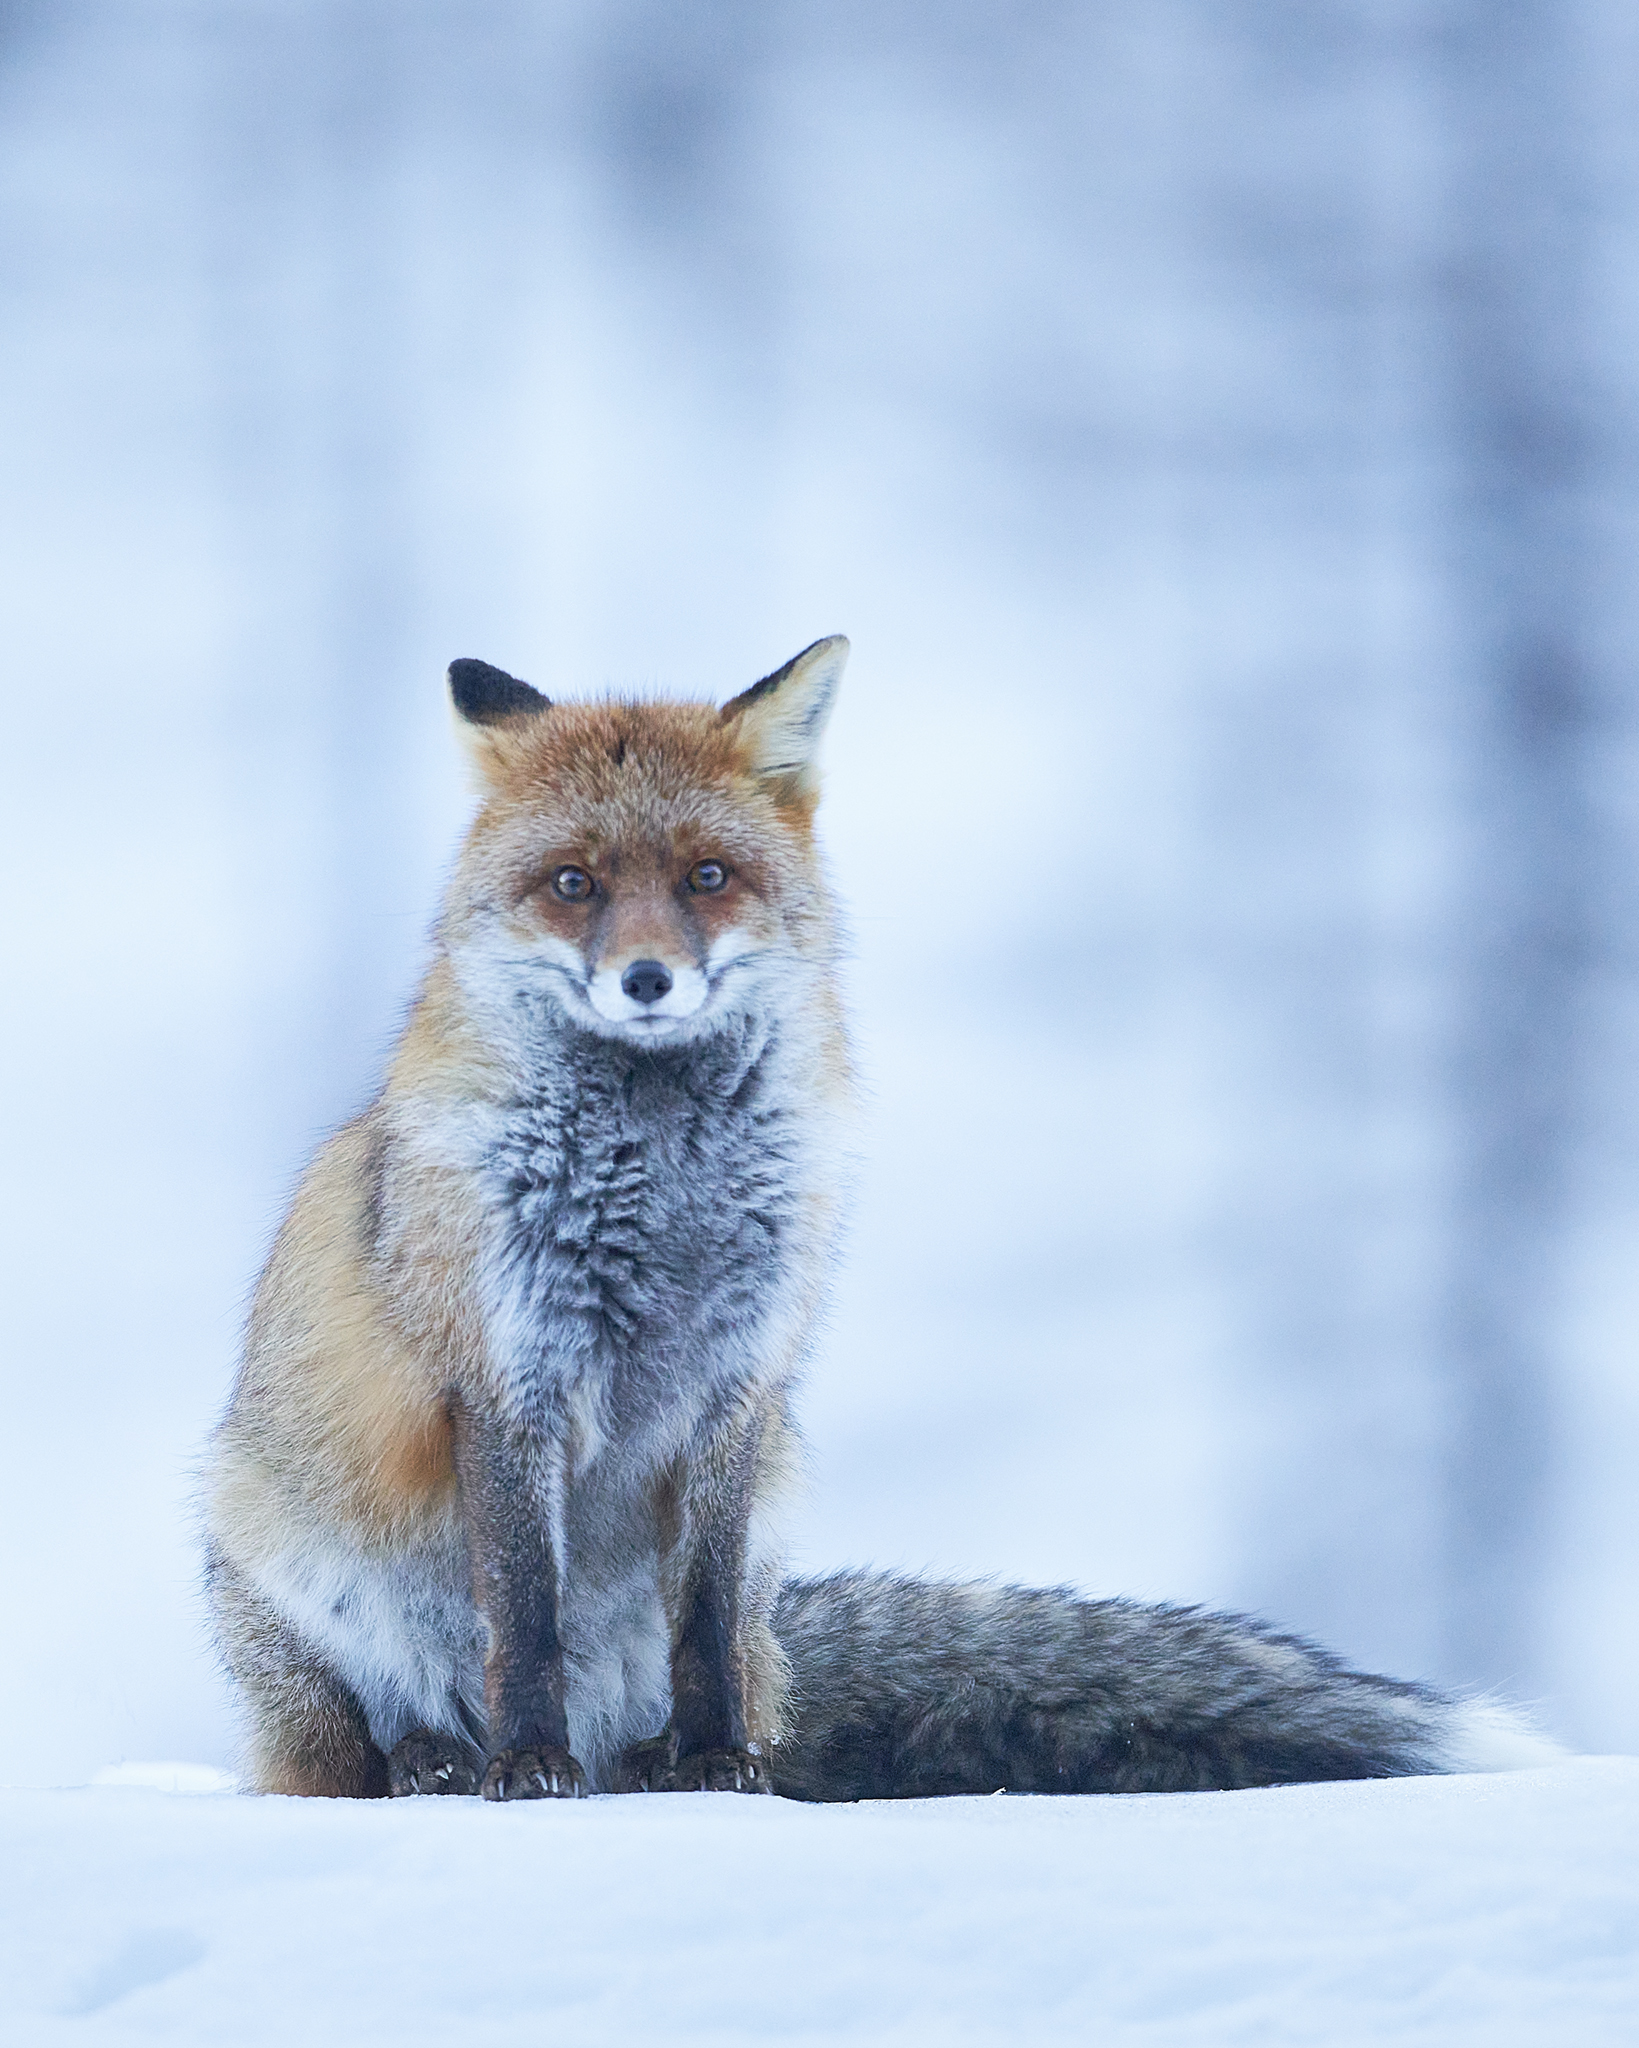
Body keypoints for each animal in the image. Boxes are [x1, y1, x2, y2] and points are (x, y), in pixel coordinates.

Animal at [204, 637, 1559, 1801]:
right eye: (573, 883)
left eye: (706, 876)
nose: (646, 979)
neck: (661, 1176)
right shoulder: (507, 1373)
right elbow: (523, 1614)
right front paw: (521, 1767)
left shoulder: (739, 1381)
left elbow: (701, 1620)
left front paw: (716, 1765)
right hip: (296, 1574)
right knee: (353, 1748)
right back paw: (439, 1757)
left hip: (751, 1584)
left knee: (709, 1676)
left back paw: (645, 1758)